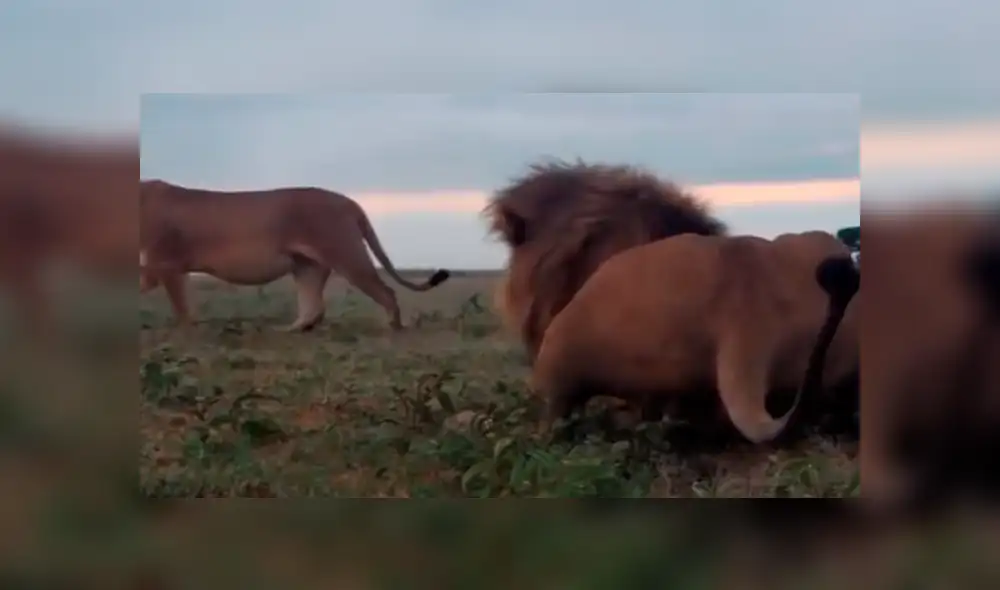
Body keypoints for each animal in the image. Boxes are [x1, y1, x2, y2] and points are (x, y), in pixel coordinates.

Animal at [140, 179, 450, 331]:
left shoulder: (164, 262)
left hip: (346, 255)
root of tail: (350, 201)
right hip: (306, 265)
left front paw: (185, 330)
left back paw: (393, 328)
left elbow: (180, 305)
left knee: (386, 292)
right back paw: (293, 329)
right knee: (314, 306)